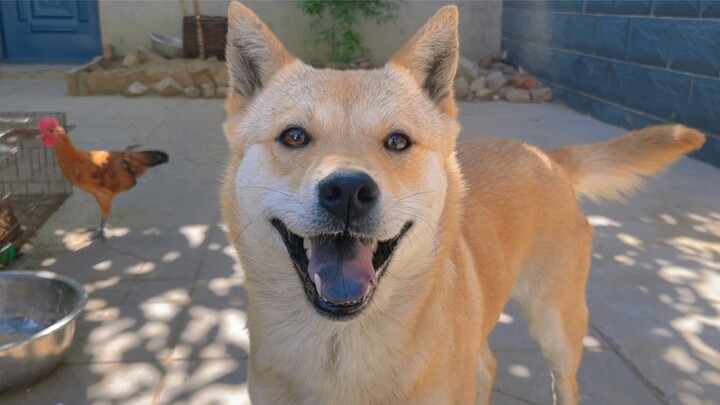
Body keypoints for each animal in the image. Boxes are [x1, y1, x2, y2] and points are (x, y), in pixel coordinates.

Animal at [219, 3, 704, 404]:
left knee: (565, 382)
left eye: (397, 141)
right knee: (487, 363)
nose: (349, 192)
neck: (341, 347)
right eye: (294, 136)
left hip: (559, 325)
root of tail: (547, 155)